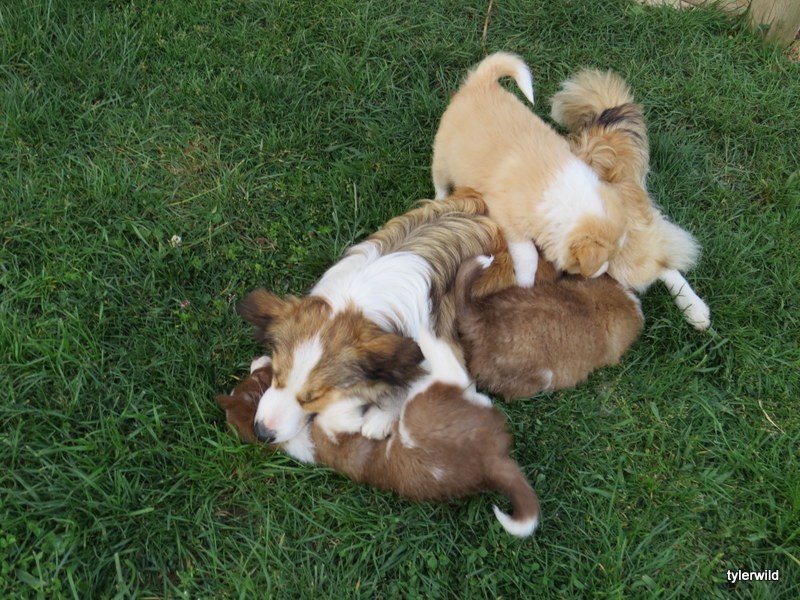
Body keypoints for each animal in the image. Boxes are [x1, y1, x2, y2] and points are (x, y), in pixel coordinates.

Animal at [431, 52, 628, 287]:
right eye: (605, 259)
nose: (603, 272)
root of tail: (482, 82)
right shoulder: (506, 217)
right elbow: (528, 254)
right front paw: (525, 282)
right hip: (443, 154)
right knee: (439, 180)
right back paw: (441, 197)